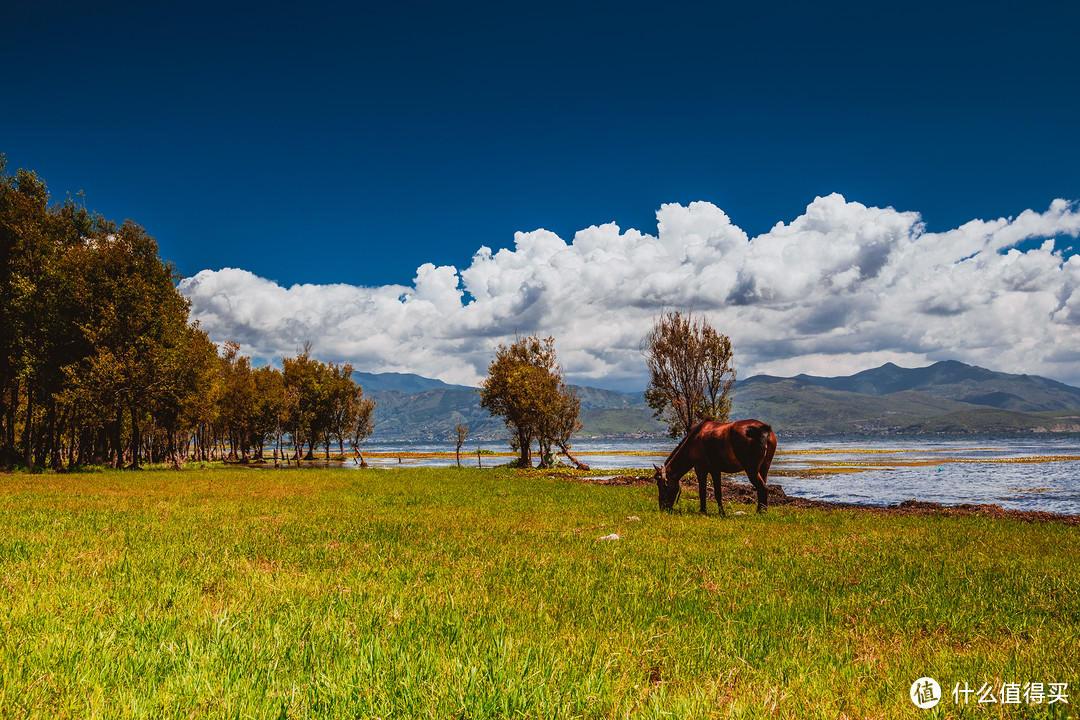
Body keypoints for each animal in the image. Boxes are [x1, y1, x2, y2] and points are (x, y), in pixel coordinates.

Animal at [648, 418, 777, 515]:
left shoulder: (701, 469)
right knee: (762, 488)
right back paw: (761, 510)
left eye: (662, 486)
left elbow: (703, 491)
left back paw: (760, 513)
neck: (692, 442)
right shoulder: (716, 470)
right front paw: (721, 512)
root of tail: (763, 429)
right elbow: (718, 493)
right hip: (764, 467)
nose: (662, 507)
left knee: (763, 488)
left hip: (751, 469)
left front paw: (703, 511)